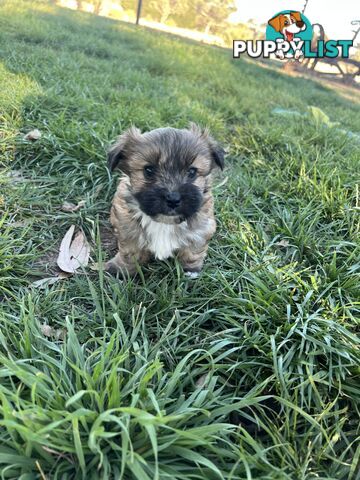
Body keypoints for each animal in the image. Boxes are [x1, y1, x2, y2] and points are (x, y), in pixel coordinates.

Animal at [105, 124, 225, 278]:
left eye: (192, 172)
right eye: (148, 170)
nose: (173, 199)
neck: (164, 223)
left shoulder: (201, 231)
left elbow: (192, 253)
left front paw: (190, 271)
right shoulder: (127, 229)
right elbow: (130, 254)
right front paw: (123, 270)